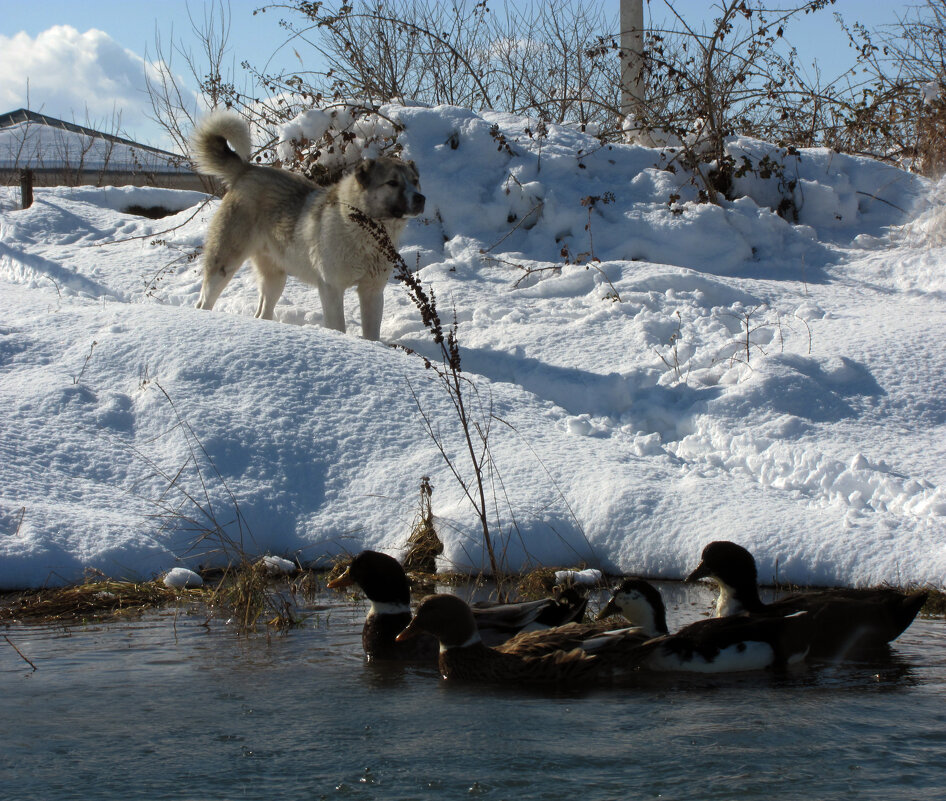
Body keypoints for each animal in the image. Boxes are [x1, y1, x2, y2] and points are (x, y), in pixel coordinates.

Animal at [189, 109, 424, 338]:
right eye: (392, 183)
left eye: (415, 181)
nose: (421, 198)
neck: (365, 233)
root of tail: (247, 170)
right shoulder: (331, 288)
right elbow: (338, 326)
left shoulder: (372, 291)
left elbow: (372, 334)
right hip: (224, 264)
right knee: (203, 302)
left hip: (275, 278)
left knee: (262, 312)